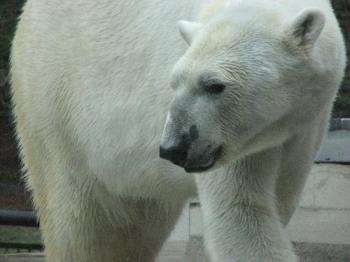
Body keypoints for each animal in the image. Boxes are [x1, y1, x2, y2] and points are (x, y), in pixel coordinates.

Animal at [10, 0, 344, 260]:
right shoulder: (235, 142)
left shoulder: (303, 126)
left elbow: (278, 201)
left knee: (139, 224)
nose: (173, 148)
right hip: (55, 106)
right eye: (175, 82)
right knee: (79, 226)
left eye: (215, 85)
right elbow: (242, 213)